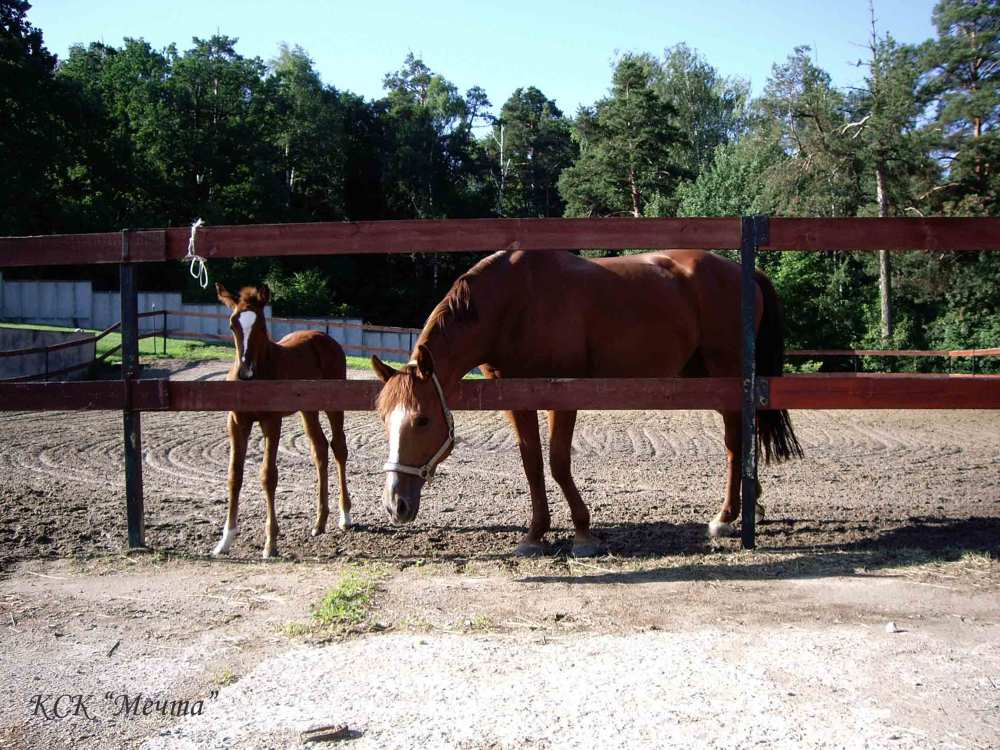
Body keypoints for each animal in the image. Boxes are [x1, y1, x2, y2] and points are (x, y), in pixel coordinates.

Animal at [211, 284, 352, 560]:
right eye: (232, 325)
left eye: (261, 326)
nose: (245, 372)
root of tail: (325, 337)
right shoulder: (236, 422)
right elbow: (234, 475)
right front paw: (225, 540)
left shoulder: (271, 421)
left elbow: (268, 476)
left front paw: (271, 543)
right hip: (308, 410)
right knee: (319, 449)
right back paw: (319, 522)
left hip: (333, 404)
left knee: (339, 448)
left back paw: (345, 516)